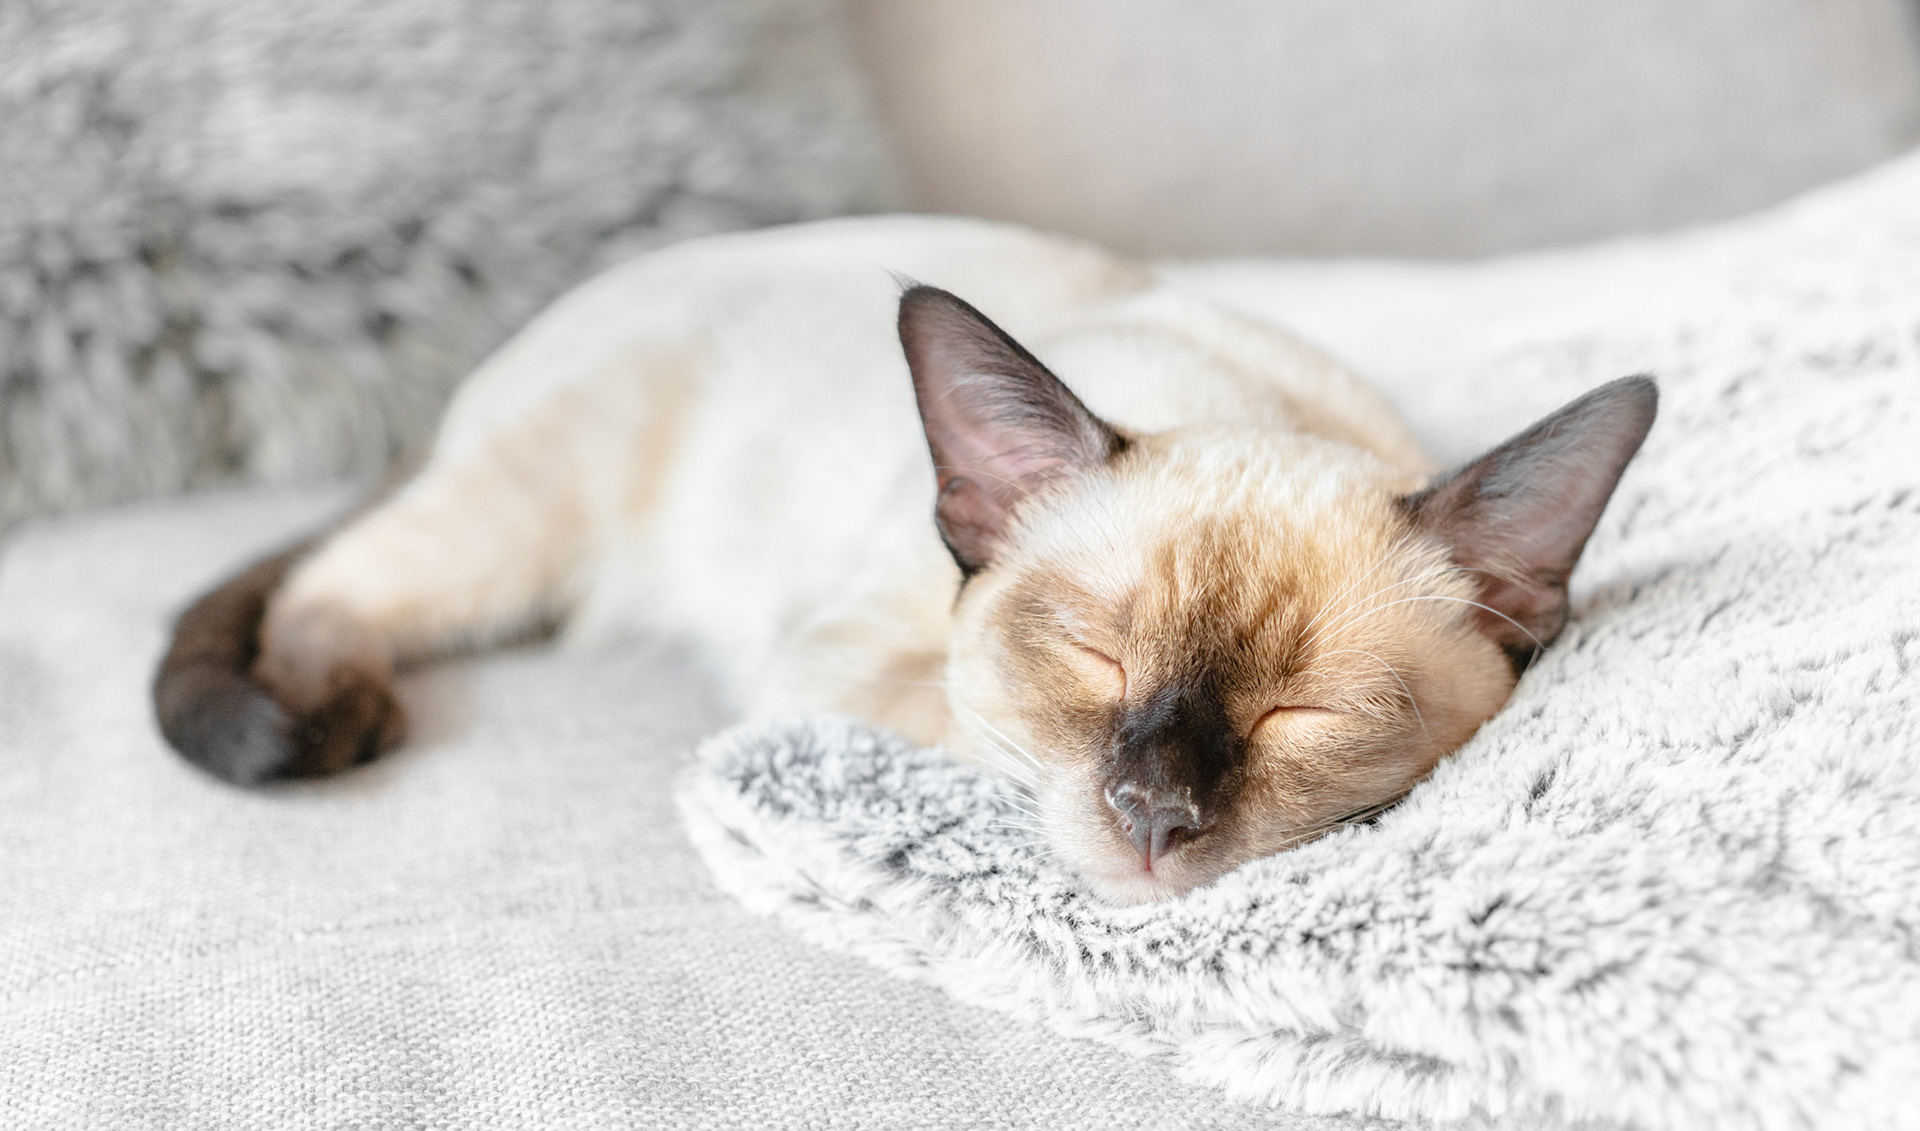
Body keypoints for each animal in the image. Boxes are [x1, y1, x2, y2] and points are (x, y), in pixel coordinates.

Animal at [153, 215, 1656, 905]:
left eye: (1305, 713)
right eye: (1092, 657)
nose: (1157, 817)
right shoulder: (837, 666)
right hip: (508, 532)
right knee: (332, 583)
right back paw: (332, 710)